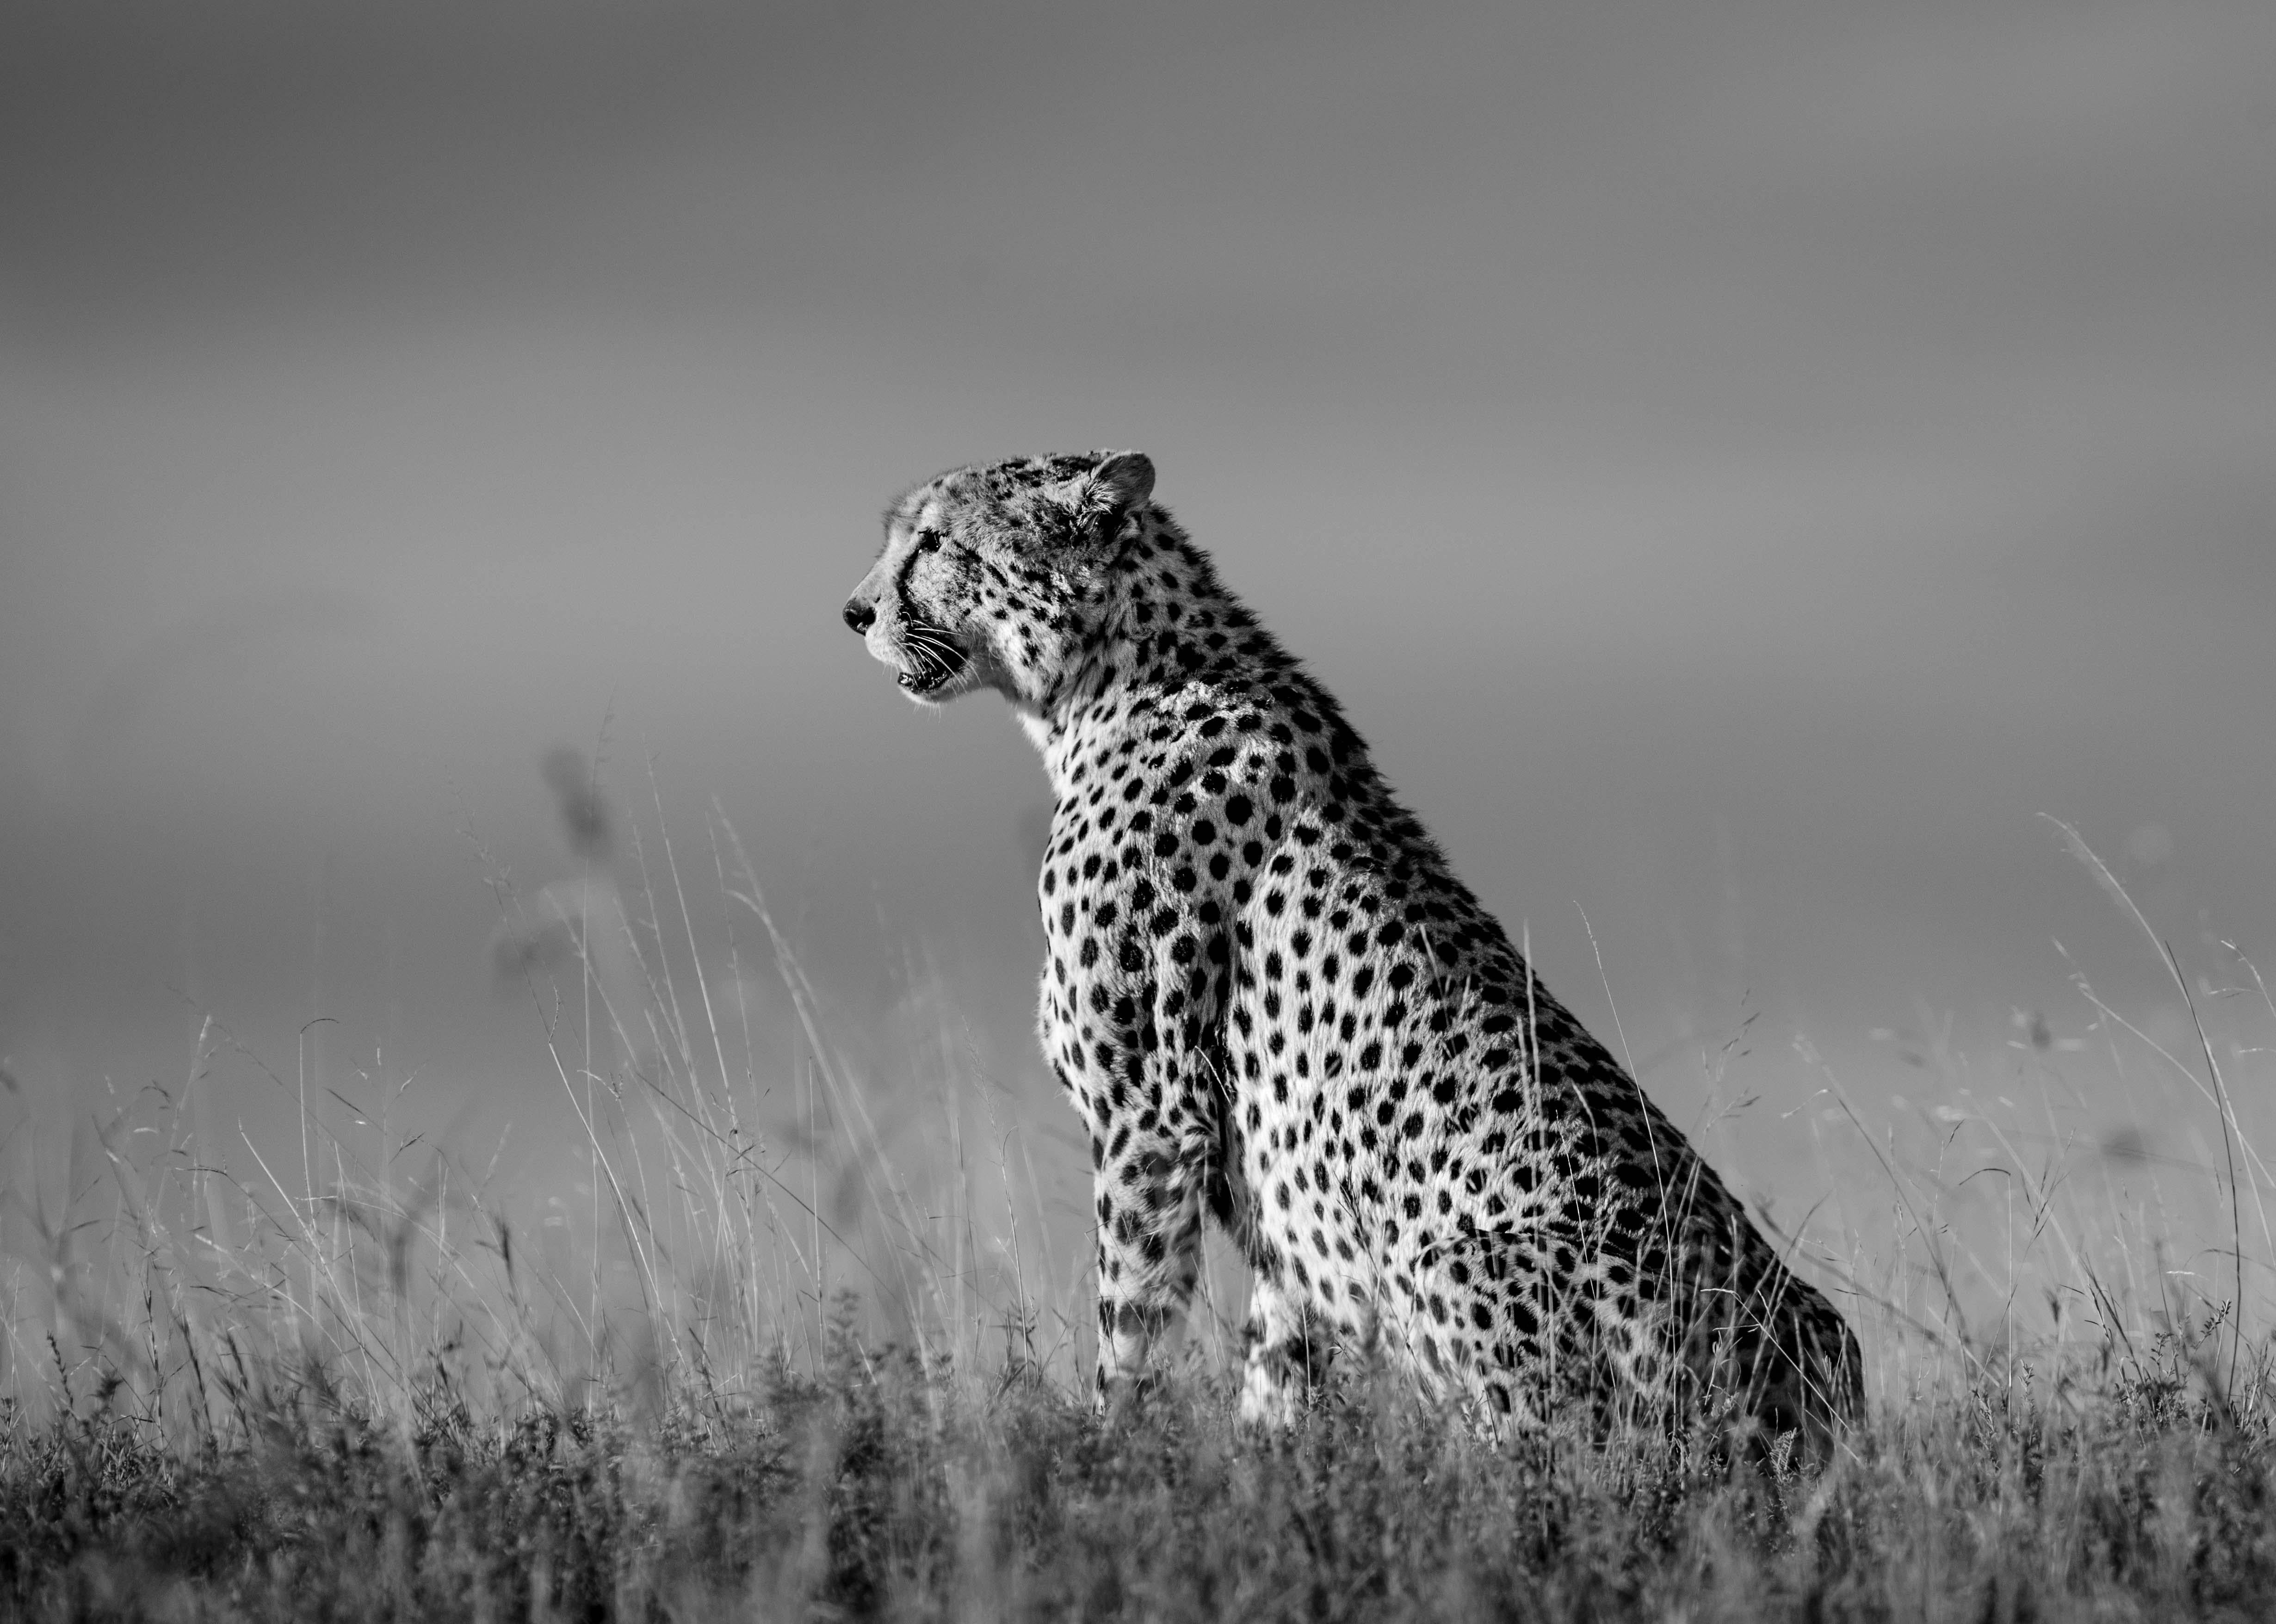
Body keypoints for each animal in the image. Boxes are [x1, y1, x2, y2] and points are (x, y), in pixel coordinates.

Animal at [847, 445, 1857, 1446]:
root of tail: (1815, 1390)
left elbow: (1129, 1332)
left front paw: (1109, 1458)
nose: (854, 613)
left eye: (935, 543)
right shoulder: (1278, 1206)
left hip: (1460, 1270)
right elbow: (1274, 1373)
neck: (1115, 682)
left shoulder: (1153, 1118)